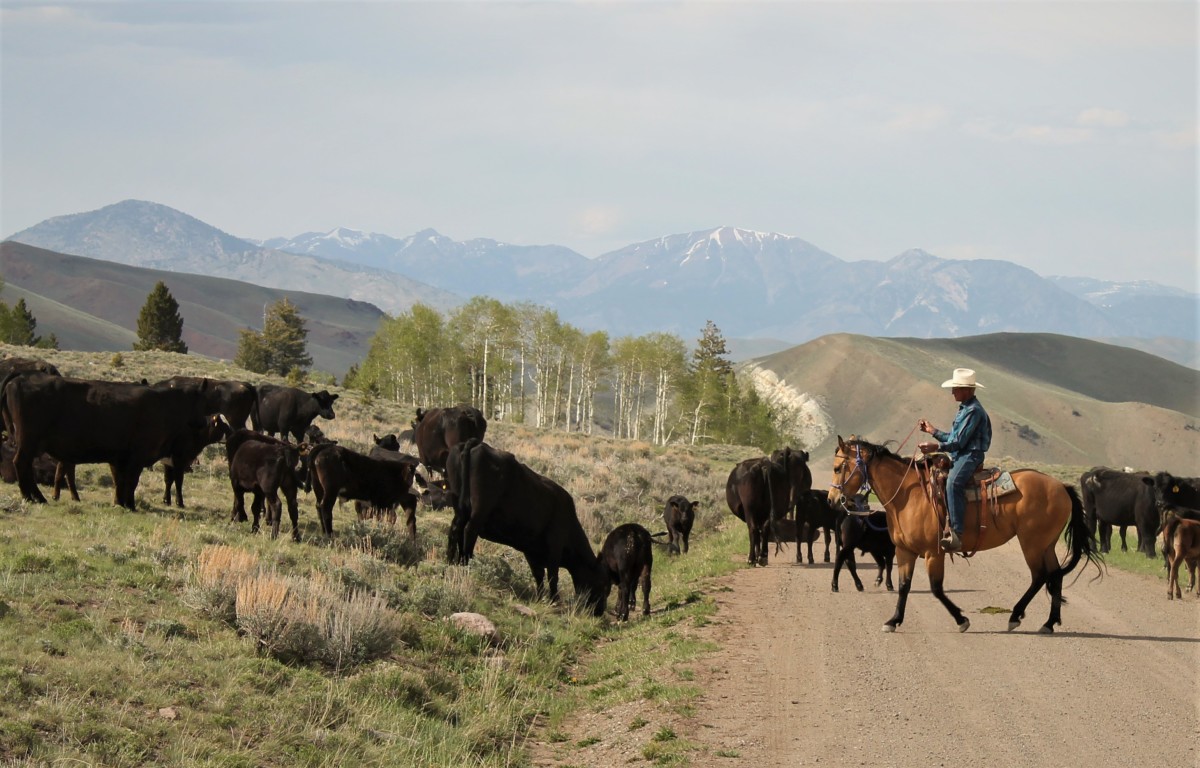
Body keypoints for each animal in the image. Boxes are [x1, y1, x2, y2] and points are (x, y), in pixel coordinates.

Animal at [0, 372, 211, 508]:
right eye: (203, 401)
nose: (204, 422)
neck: (166, 403)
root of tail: (20, 378)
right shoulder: (137, 457)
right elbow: (131, 481)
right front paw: (130, 505)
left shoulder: (119, 458)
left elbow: (120, 481)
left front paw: (120, 503)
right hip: (29, 442)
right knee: (21, 464)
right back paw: (31, 497)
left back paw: (37, 497)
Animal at [446, 436, 609, 619]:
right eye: (604, 584)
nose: (600, 611)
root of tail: (476, 444)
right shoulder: (555, 546)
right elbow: (553, 575)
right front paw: (554, 600)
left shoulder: (530, 550)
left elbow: (538, 575)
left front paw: (540, 598)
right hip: (479, 511)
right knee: (469, 531)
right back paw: (466, 563)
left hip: (459, 506)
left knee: (456, 529)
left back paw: (451, 561)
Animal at [830, 434, 1099, 633]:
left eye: (838, 467)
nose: (833, 499)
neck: (909, 495)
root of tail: (1061, 486)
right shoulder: (904, 551)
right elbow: (904, 585)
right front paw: (893, 620)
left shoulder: (933, 552)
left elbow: (936, 589)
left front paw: (961, 620)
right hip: (1046, 545)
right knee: (1055, 575)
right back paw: (1049, 623)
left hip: (1031, 543)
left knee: (1040, 576)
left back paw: (1015, 615)